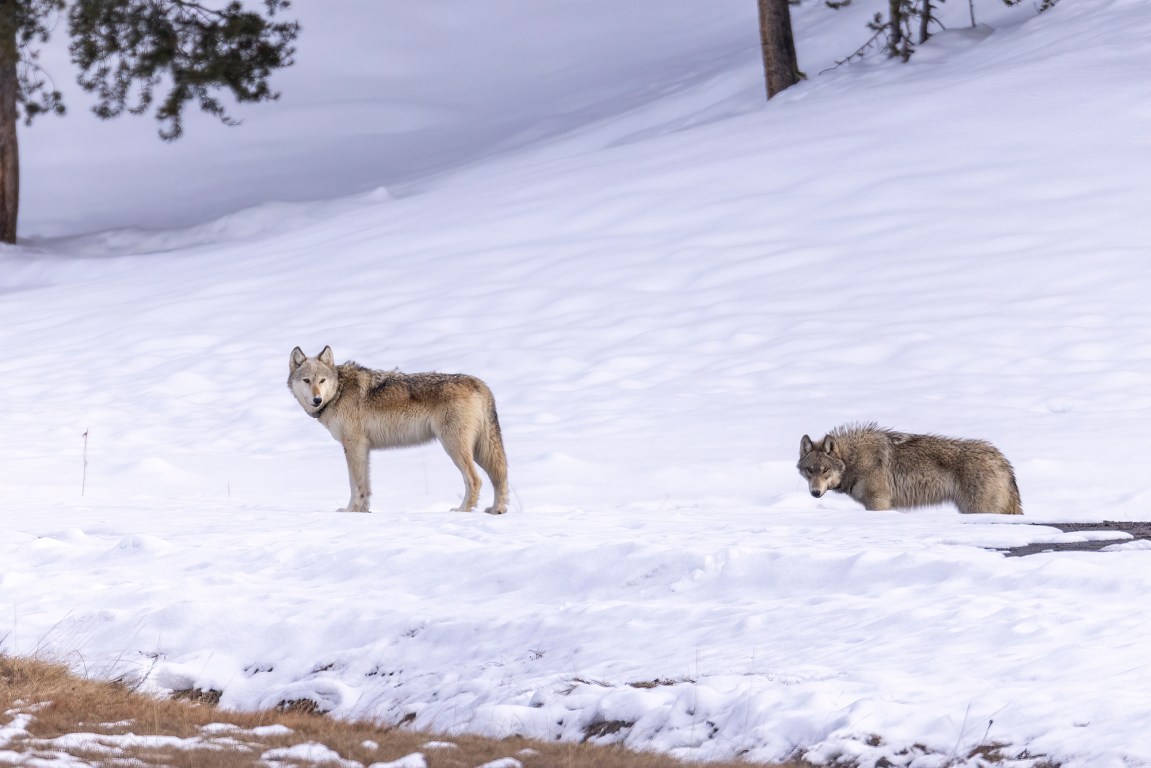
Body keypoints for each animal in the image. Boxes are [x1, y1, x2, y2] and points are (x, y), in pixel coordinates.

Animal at [288, 346, 509, 515]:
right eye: (307, 380)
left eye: (322, 381)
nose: (317, 399)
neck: (339, 392)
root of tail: (479, 383)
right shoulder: (363, 448)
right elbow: (365, 485)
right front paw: (363, 512)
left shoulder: (353, 445)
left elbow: (355, 484)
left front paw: (351, 511)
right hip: (479, 450)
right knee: (500, 474)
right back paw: (497, 510)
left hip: (454, 447)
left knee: (475, 480)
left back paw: (462, 510)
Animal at [796, 423, 1022, 515]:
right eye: (810, 470)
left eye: (825, 470)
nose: (815, 493)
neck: (854, 459)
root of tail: (1002, 460)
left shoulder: (878, 503)